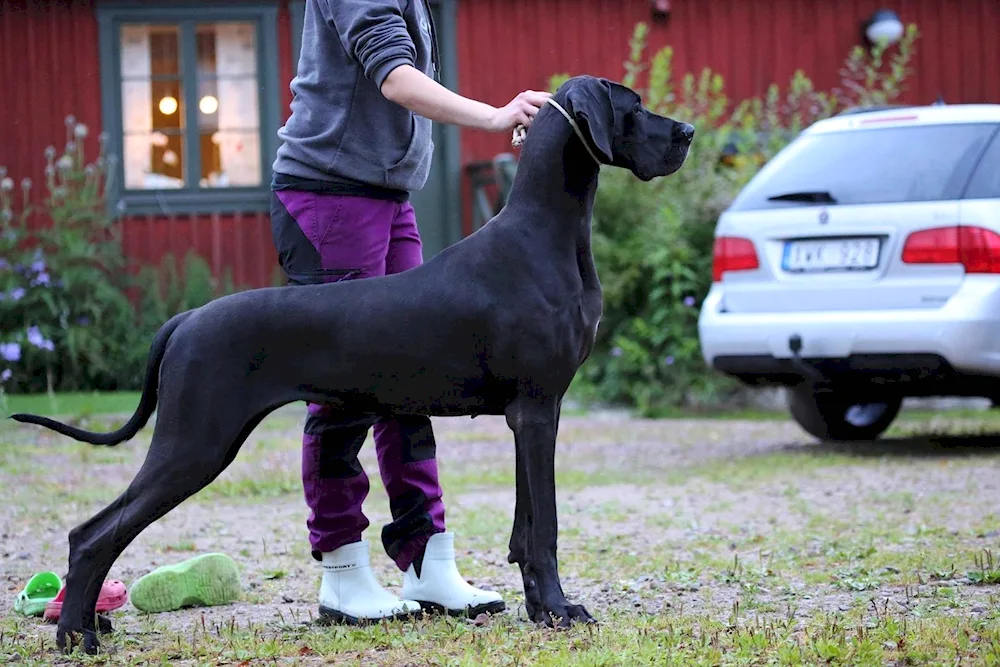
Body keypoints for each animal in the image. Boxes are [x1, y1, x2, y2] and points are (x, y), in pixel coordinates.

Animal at [9, 73, 696, 652]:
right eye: (634, 108)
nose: (688, 132)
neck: (546, 234)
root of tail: (186, 320)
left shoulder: (531, 415)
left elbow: (525, 526)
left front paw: (538, 606)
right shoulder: (536, 409)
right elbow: (545, 527)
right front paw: (557, 610)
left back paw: (86, 625)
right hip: (194, 442)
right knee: (95, 532)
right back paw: (76, 636)